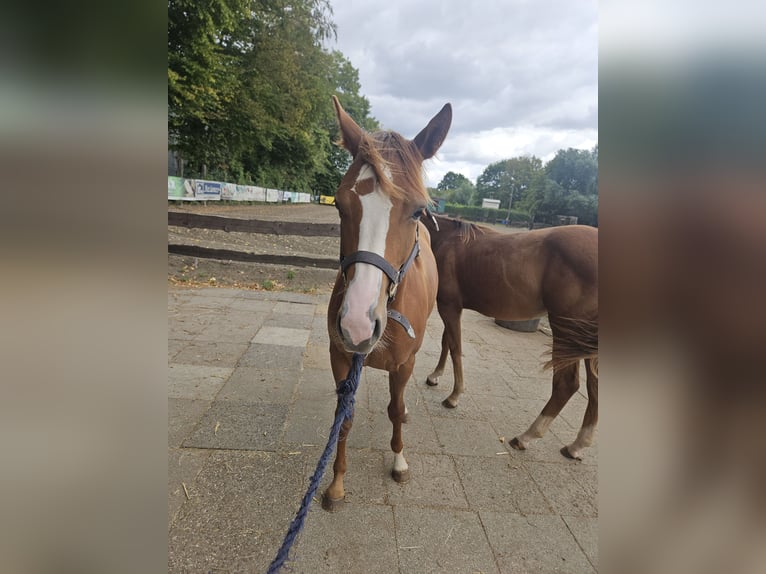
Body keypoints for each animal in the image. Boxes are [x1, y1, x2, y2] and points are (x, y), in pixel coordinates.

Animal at [322, 96, 450, 511]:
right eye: (339, 205)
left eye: (417, 211)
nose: (358, 324)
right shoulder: (341, 357)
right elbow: (343, 417)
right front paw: (336, 483)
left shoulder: (404, 364)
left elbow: (394, 408)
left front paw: (398, 461)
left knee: (400, 403)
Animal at [420, 214, 598, 460]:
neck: (445, 238)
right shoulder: (453, 307)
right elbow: (446, 342)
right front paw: (435, 376)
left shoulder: (449, 305)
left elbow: (455, 347)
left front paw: (454, 396)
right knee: (594, 387)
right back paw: (576, 445)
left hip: (567, 331)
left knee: (567, 384)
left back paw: (526, 437)